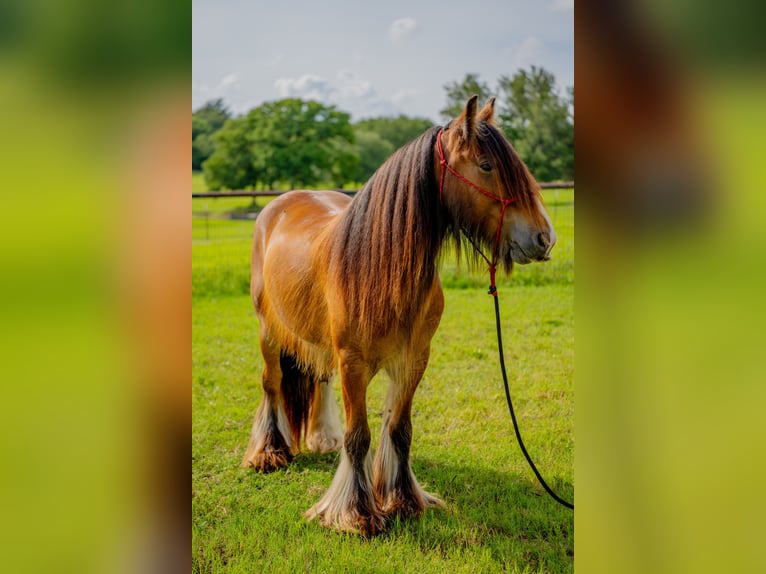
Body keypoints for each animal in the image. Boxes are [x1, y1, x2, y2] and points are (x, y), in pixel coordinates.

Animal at [242, 95, 556, 536]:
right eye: (486, 165)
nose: (545, 238)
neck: (379, 269)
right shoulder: (353, 365)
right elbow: (359, 436)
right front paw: (355, 513)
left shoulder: (413, 361)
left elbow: (399, 430)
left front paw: (403, 500)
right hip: (269, 332)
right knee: (271, 385)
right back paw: (269, 453)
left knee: (318, 377)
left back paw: (322, 439)